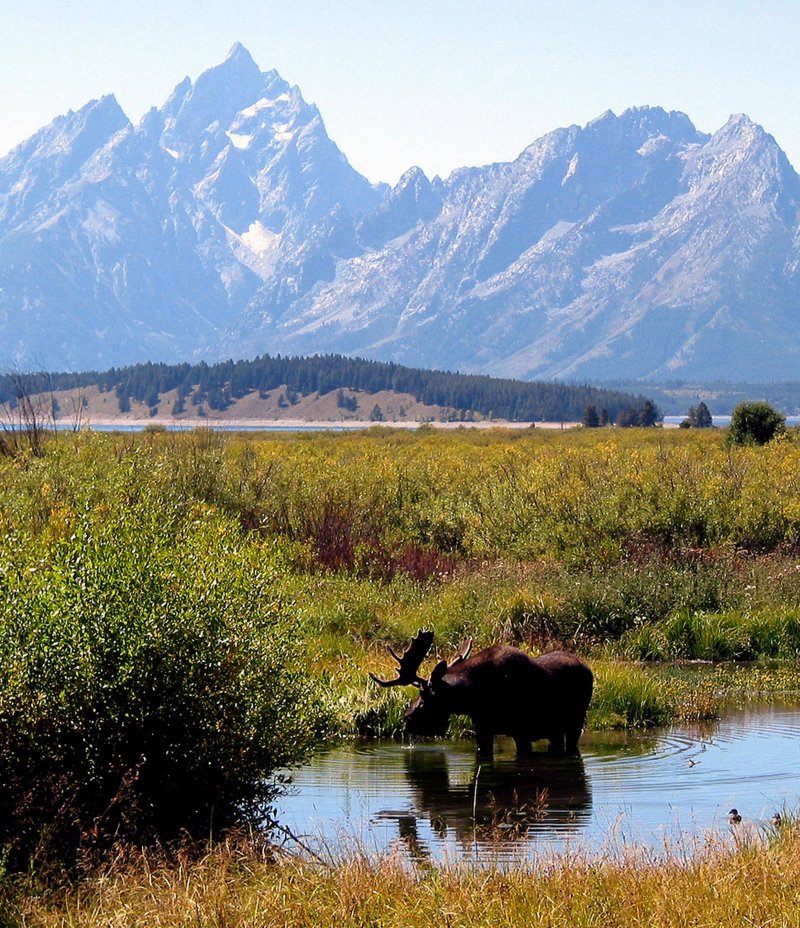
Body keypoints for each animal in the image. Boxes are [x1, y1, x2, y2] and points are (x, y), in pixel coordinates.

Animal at [372, 632, 592, 760]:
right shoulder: (483, 729)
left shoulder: (521, 732)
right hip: (556, 730)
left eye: (424, 699)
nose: (406, 720)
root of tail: (588, 670)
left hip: (575, 723)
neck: (472, 699)